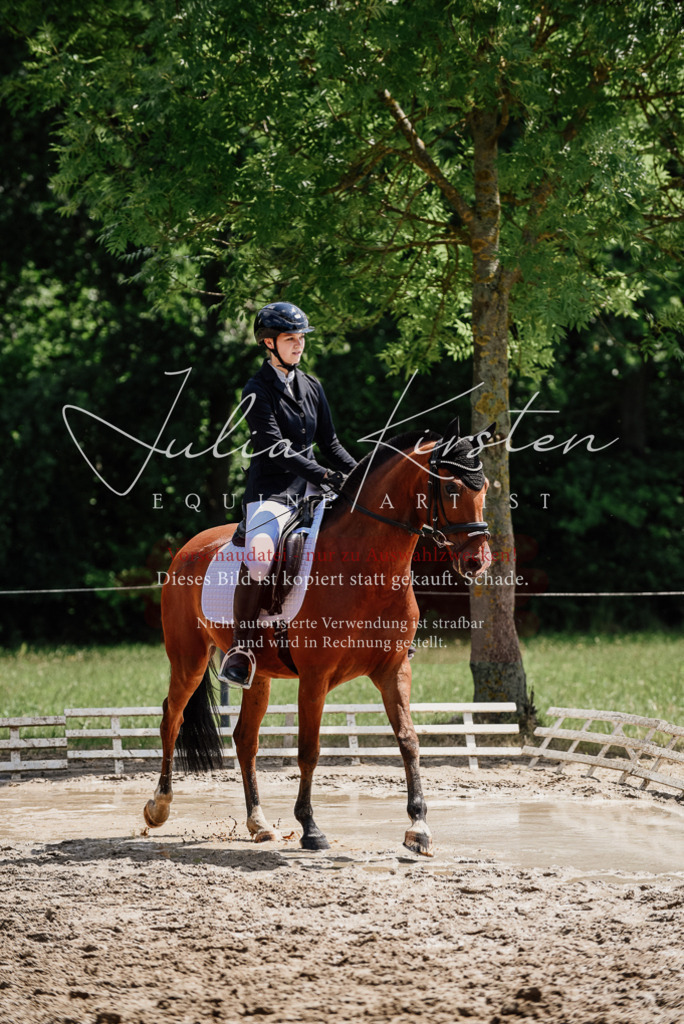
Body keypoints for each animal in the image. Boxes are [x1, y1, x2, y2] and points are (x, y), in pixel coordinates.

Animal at [143, 422, 492, 856]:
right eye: (452, 489)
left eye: (486, 487)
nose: (478, 561)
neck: (366, 568)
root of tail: (187, 549)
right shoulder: (315, 678)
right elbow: (309, 751)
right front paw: (310, 828)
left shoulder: (394, 670)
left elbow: (409, 740)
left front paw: (419, 827)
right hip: (187, 660)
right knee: (171, 718)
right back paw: (159, 806)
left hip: (258, 674)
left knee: (245, 738)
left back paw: (259, 824)